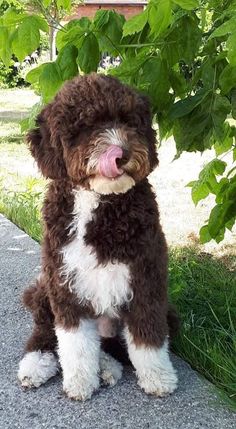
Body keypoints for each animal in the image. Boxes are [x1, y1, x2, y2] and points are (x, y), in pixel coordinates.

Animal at [18, 72, 177, 398]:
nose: (122, 154)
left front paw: (158, 377)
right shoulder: (64, 283)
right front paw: (80, 381)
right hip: (44, 290)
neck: (98, 201)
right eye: (86, 125)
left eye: (129, 121)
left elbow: (148, 336)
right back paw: (36, 364)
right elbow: (74, 343)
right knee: (44, 330)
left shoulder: (147, 278)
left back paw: (107, 366)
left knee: (113, 346)